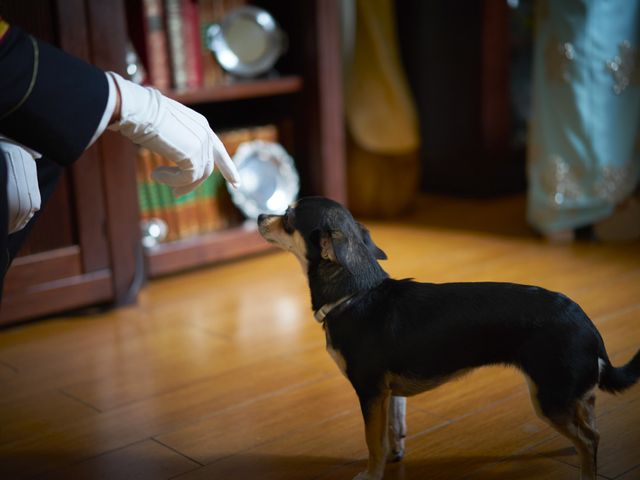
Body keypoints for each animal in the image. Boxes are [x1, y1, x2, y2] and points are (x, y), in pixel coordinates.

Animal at [258, 196, 636, 480]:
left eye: (288, 217)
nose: (260, 215)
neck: (355, 293)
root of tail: (588, 324)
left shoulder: (370, 392)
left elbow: (372, 441)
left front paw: (372, 474)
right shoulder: (388, 394)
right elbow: (392, 430)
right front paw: (396, 454)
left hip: (549, 397)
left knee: (590, 438)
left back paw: (586, 471)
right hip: (567, 394)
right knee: (590, 424)